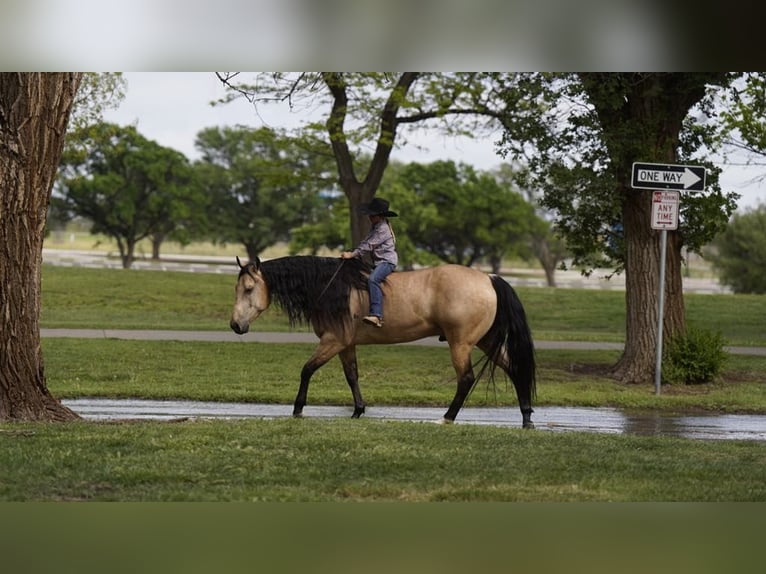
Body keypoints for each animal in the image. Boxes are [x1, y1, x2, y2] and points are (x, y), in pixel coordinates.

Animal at [230, 255, 536, 428]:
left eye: (248, 289)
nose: (235, 325)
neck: (332, 286)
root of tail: (488, 278)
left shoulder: (333, 341)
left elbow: (307, 370)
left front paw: (297, 409)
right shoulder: (346, 344)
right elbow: (352, 376)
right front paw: (357, 411)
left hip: (460, 344)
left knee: (466, 379)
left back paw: (447, 417)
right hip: (486, 340)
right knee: (515, 369)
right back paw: (526, 418)